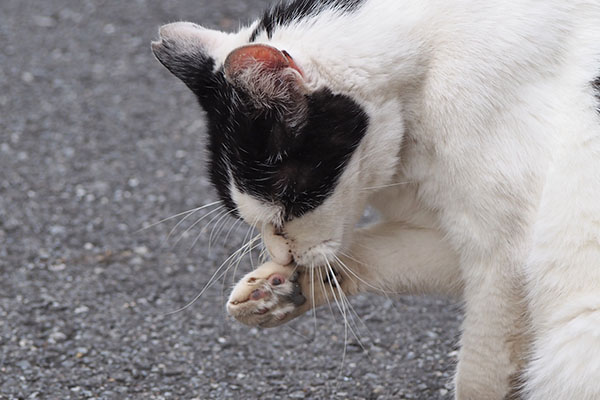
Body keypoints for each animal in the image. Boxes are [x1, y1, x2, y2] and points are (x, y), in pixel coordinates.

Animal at [150, 1, 600, 398]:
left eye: (288, 205)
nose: (282, 254)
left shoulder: (505, 253)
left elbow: (480, 374)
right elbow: (385, 254)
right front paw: (277, 290)